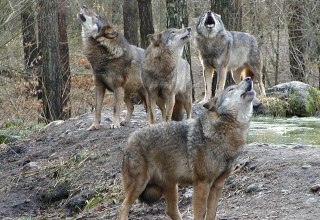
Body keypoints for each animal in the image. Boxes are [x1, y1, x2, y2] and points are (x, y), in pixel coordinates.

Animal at [119, 76, 256, 219]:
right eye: (231, 89)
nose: (249, 78)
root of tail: (129, 140)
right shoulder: (202, 184)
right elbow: (200, 214)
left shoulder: (217, 186)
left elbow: (211, 215)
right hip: (139, 185)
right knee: (123, 207)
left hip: (171, 187)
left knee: (171, 211)